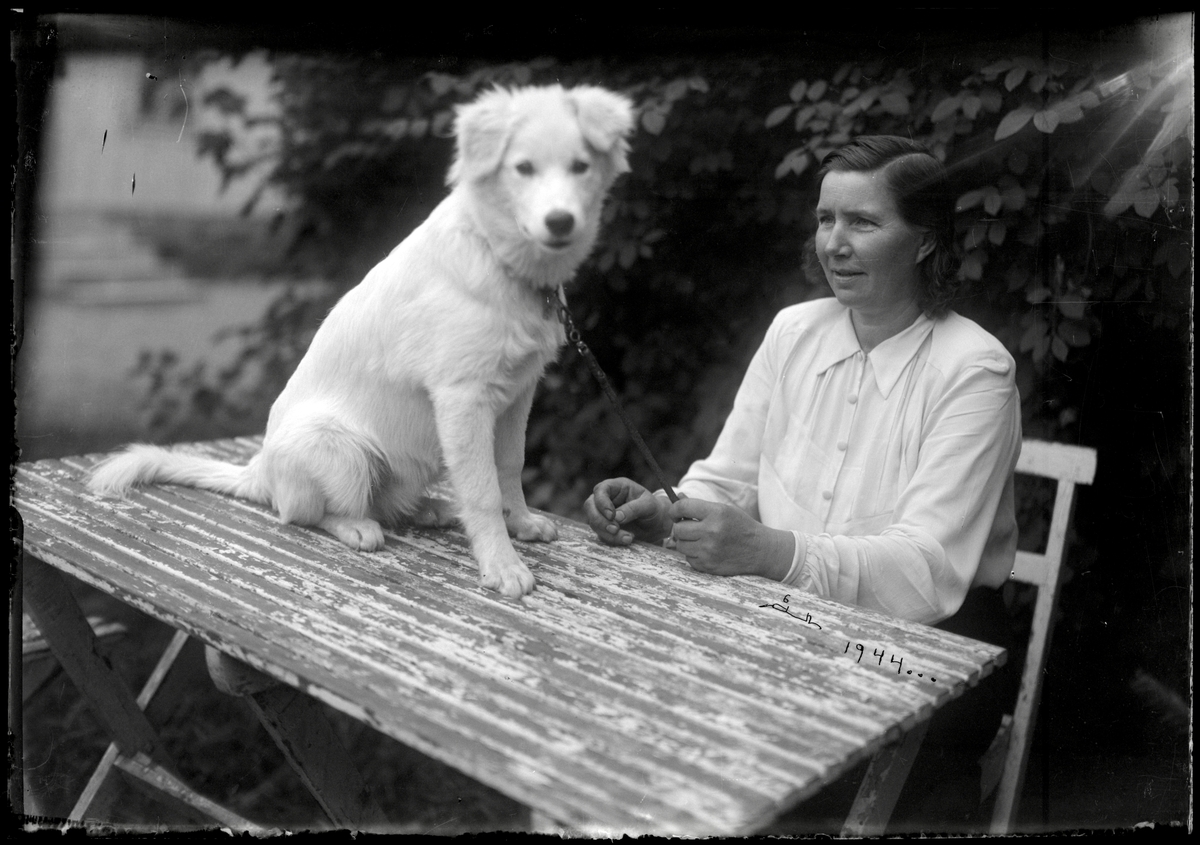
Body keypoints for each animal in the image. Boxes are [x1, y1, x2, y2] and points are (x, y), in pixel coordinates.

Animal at [88, 84, 636, 598]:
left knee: (386, 504)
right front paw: (502, 567)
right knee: (303, 514)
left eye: (581, 166)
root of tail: (259, 472)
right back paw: (357, 527)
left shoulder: (519, 394)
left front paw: (520, 524)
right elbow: (481, 491)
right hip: (344, 449)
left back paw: (431, 510)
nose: (560, 222)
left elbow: (509, 466)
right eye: (522, 168)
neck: (501, 260)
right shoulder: (463, 400)